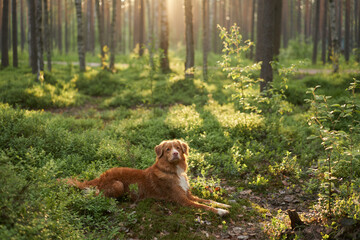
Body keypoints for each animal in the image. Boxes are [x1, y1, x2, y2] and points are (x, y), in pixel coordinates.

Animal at [65, 139, 231, 216]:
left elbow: (207, 200)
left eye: (178, 147)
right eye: (168, 149)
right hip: (118, 184)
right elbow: (203, 206)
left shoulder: (188, 194)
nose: (175, 153)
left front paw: (224, 205)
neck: (173, 171)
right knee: (97, 195)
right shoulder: (183, 200)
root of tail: (101, 176)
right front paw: (220, 212)